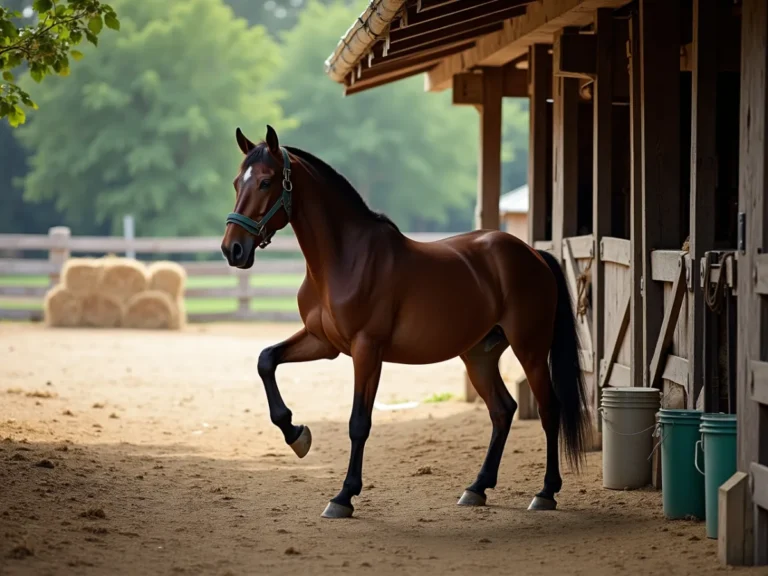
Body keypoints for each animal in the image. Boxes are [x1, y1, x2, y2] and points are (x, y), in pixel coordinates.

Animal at [221, 125, 591, 519]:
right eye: (237, 182)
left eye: (265, 182)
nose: (233, 249)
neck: (345, 258)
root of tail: (533, 254)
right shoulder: (323, 342)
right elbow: (266, 360)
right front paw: (296, 434)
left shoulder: (367, 350)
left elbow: (359, 423)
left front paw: (344, 496)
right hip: (479, 355)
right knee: (502, 410)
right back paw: (477, 488)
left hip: (531, 349)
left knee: (549, 409)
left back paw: (546, 492)